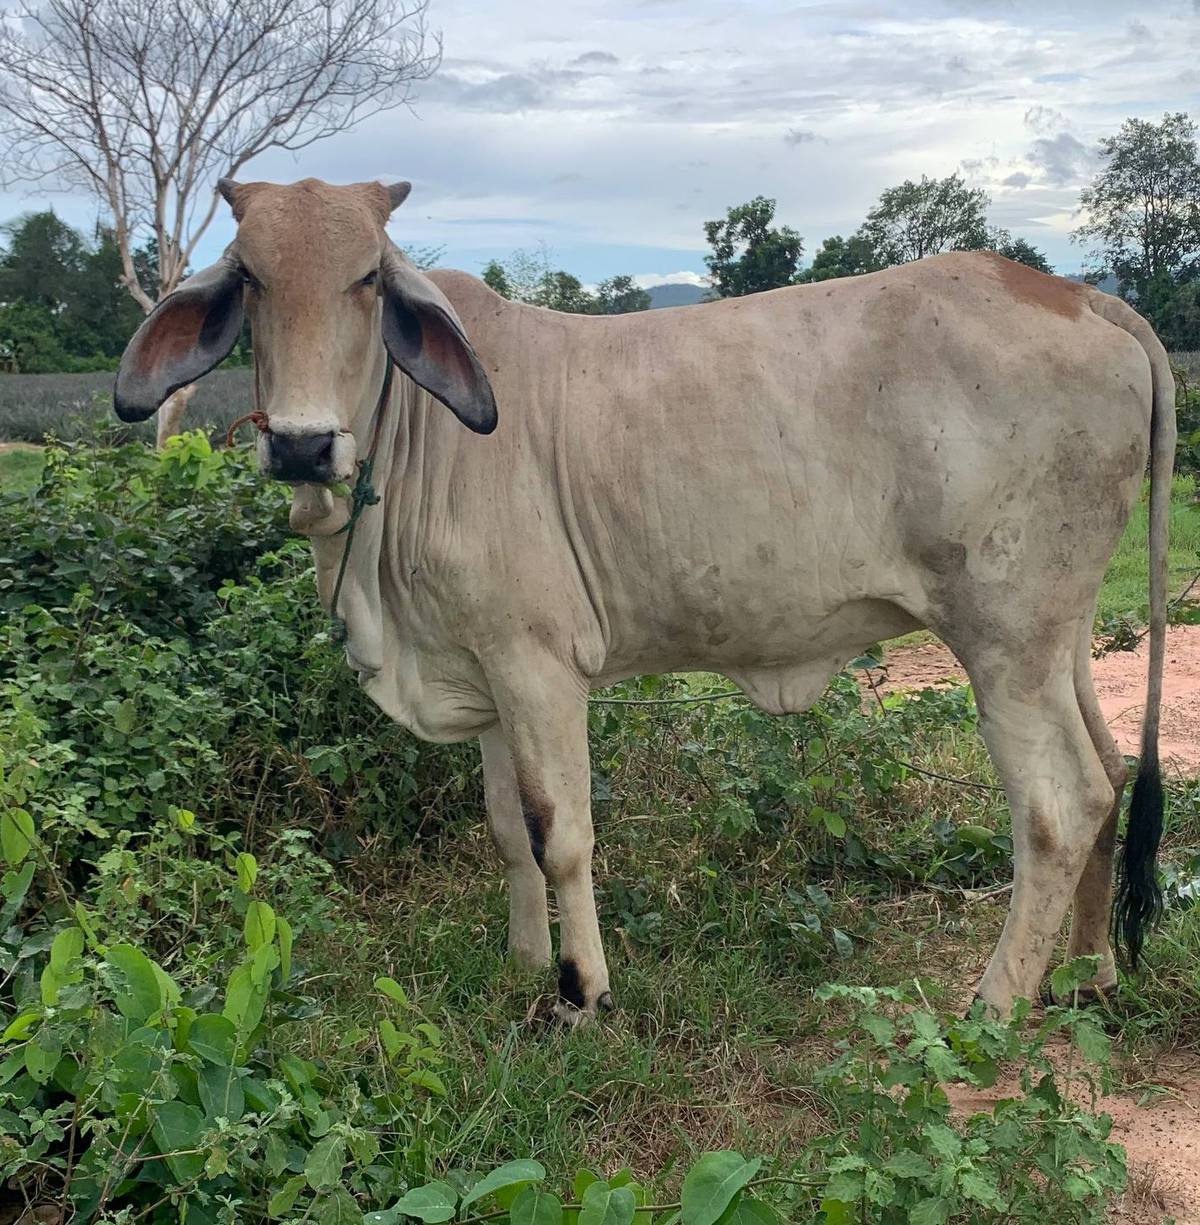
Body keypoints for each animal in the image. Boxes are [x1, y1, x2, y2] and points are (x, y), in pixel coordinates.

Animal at [115, 178, 1174, 1022]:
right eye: (250, 277)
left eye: (369, 277)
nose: (301, 444)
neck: (415, 439)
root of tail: (1082, 295)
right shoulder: (485, 670)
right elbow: (506, 829)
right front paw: (522, 962)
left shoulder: (539, 666)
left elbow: (560, 833)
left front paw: (580, 990)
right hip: (1057, 637)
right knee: (1113, 768)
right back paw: (1086, 975)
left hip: (1002, 640)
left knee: (1062, 803)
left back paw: (995, 1003)